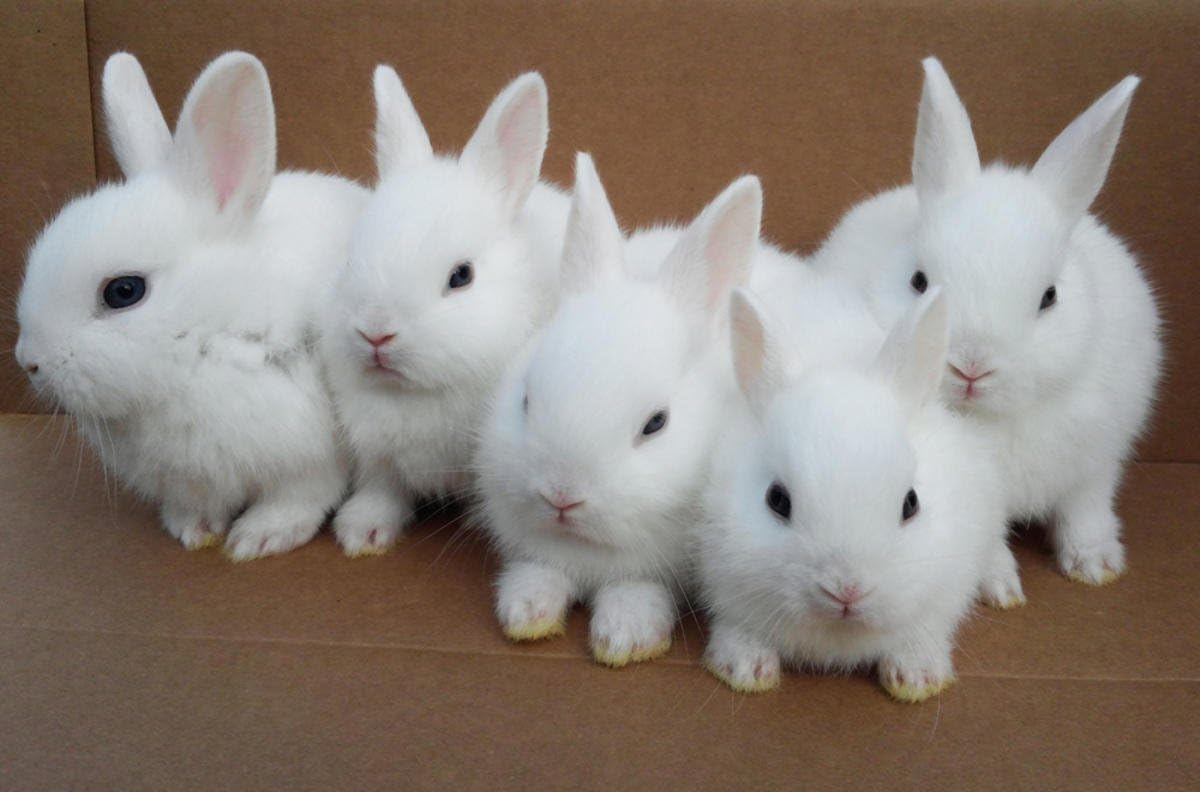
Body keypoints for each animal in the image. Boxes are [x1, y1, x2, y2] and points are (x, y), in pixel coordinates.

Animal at [14, 52, 367, 560]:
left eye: (124, 291)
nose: (29, 361)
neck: (211, 330)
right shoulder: (195, 476)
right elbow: (199, 504)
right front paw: (194, 531)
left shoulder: (309, 456)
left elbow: (299, 499)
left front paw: (258, 538)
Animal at [321, 66, 570, 557]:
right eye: (349, 260)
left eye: (461, 276)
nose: (376, 333)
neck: (414, 394)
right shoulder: (377, 454)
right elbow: (383, 488)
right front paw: (362, 532)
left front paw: (476, 520)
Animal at [475, 153, 762, 667]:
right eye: (525, 400)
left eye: (656, 424)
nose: (562, 495)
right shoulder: (538, 551)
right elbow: (538, 572)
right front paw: (526, 613)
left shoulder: (651, 571)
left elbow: (634, 590)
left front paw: (627, 639)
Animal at [698, 286, 1021, 701]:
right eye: (777, 500)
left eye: (911, 503)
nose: (847, 590)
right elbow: (738, 628)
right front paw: (745, 670)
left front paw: (918, 679)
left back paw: (1002, 588)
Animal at [812, 58, 1162, 585]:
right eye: (918, 281)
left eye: (1049, 297)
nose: (971, 366)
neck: (991, 419)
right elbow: (984, 543)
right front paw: (999, 584)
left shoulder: (1096, 461)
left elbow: (1086, 509)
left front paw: (1096, 566)